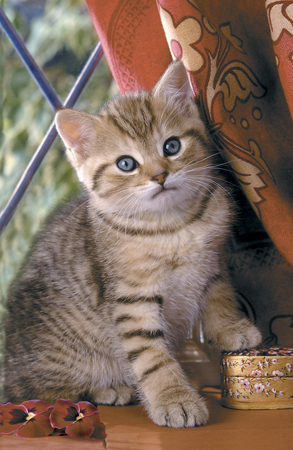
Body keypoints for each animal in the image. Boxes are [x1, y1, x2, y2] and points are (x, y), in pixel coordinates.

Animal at [3, 61, 260, 428]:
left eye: (171, 146)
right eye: (126, 164)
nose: (160, 176)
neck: (173, 225)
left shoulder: (211, 261)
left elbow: (219, 295)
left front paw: (231, 328)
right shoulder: (131, 300)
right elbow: (151, 356)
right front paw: (174, 399)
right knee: (37, 392)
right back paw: (109, 389)